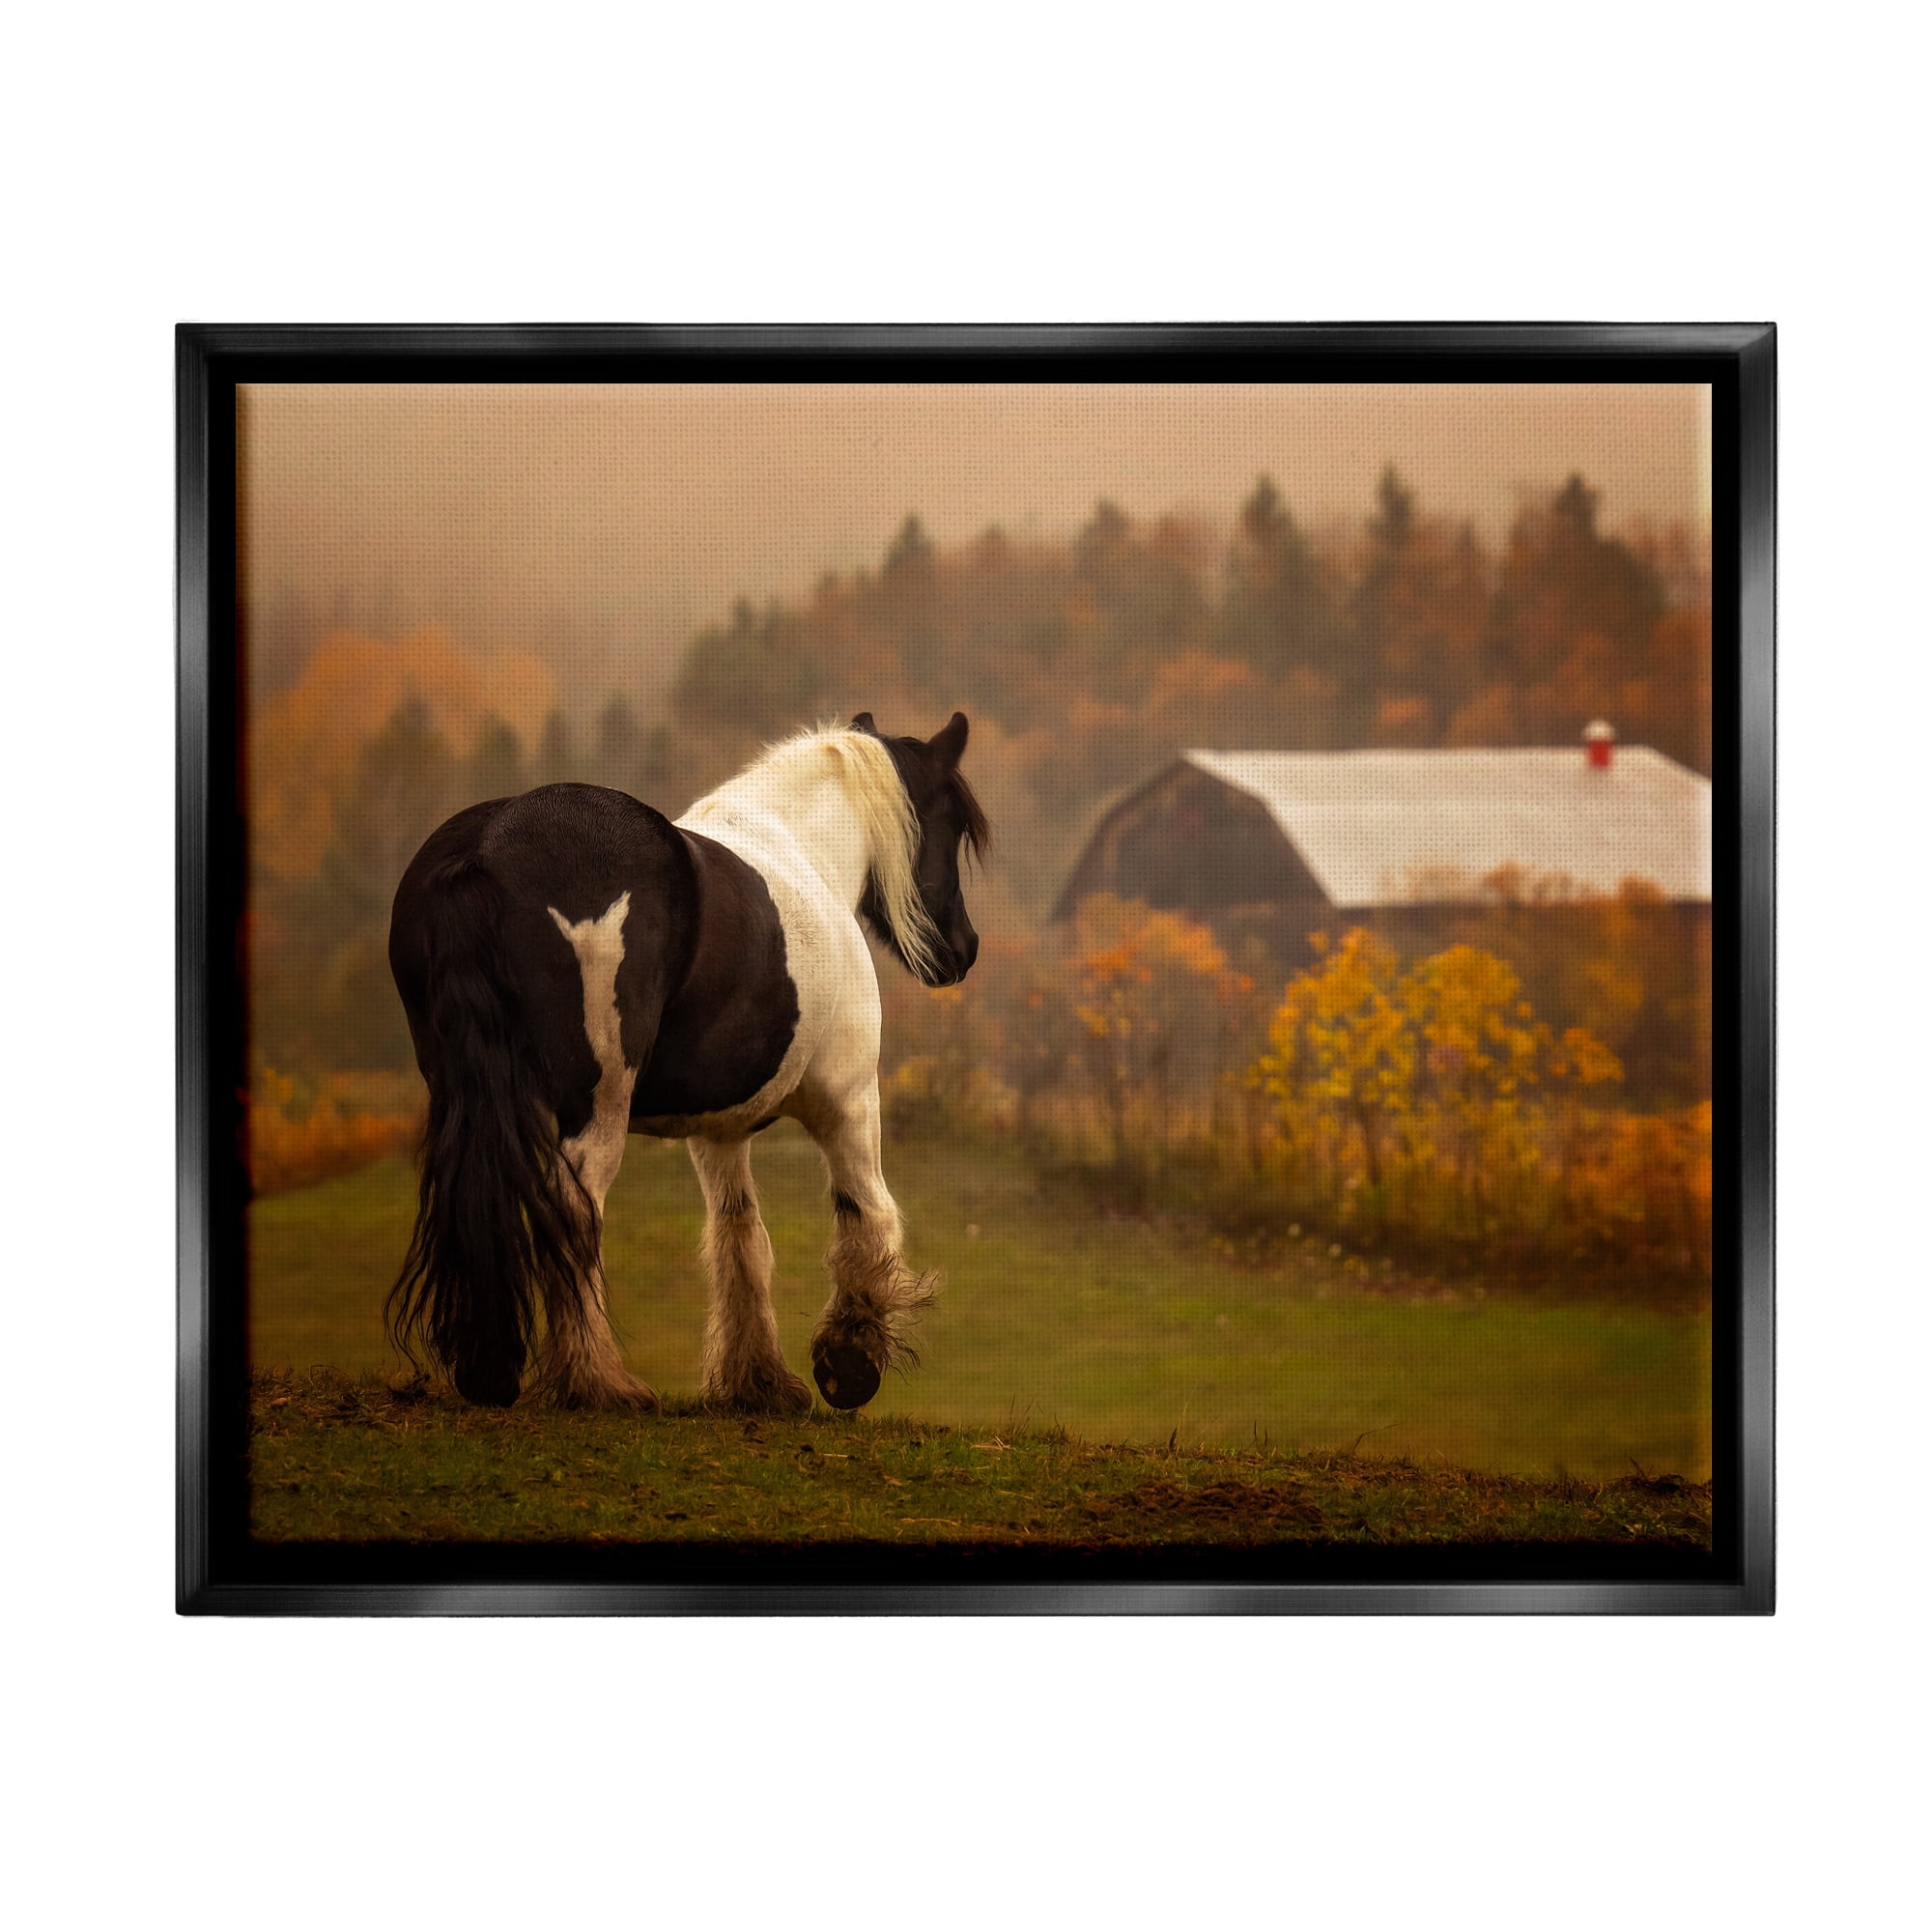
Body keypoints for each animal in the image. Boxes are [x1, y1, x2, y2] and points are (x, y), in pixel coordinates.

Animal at [385, 711, 987, 1414]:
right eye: (951, 823)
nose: (963, 949)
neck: (805, 853)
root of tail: (485, 848)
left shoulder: (719, 1131)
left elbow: (740, 1236)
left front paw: (757, 1380)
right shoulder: (848, 1099)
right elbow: (867, 1212)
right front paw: (849, 1360)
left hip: (464, 1091)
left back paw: (492, 1371)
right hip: (596, 1103)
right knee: (574, 1207)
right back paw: (598, 1381)